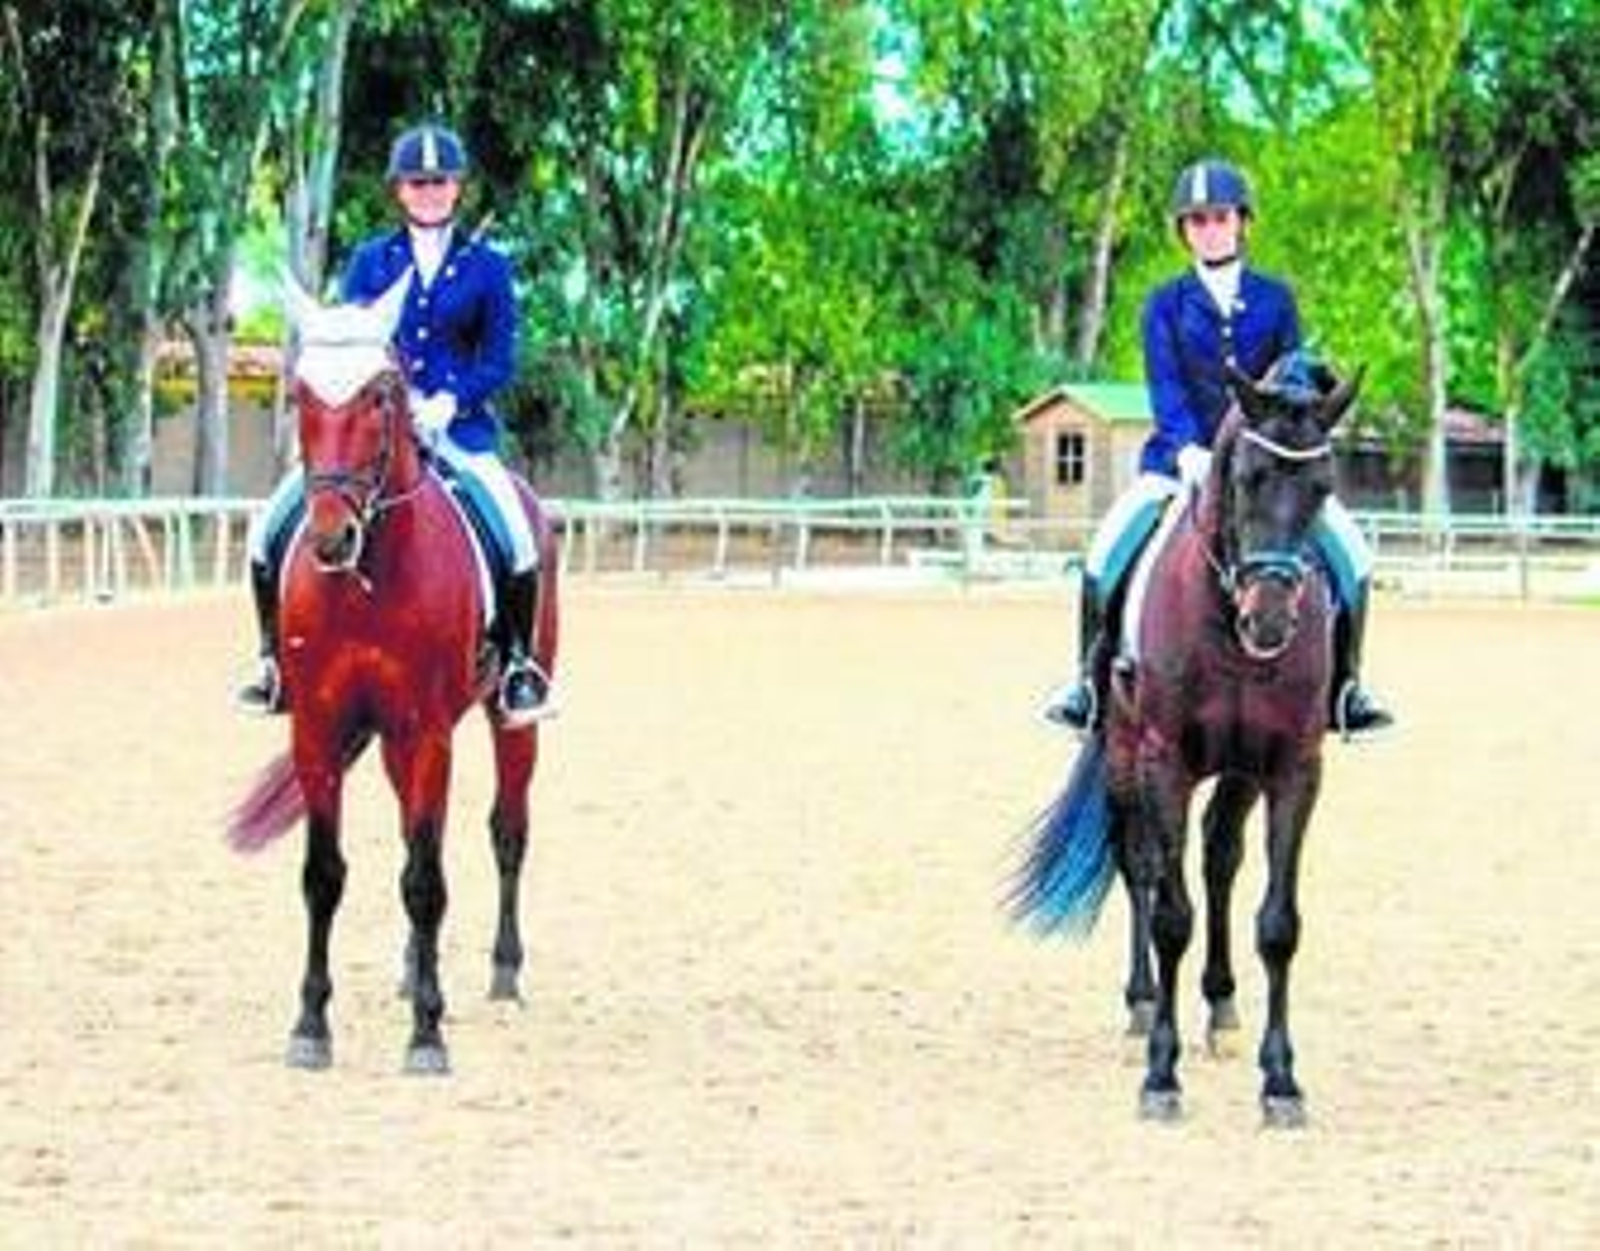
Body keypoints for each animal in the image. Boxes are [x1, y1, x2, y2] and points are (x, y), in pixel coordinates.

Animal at [226, 275, 560, 1075]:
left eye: (382, 394)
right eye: (301, 394)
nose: (330, 536)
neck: (368, 579)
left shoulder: (430, 730)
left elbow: (426, 880)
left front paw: (428, 1037)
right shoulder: (319, 728)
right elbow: (324, 875)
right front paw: (310, 1026)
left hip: (509, 721)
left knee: (507, 831)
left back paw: (504, 972)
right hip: (384, 741)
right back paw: (413, 970)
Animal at [1012, 355, 1362, 1127]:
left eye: (1323, 486)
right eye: (1248, 477)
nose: (1270, 620)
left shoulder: (1294, 768)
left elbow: (1279, 923)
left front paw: (1281, 1081)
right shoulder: (1163, 760)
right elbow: (1171, 914)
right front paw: (1161, 1075)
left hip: (1236, 772)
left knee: (1219, 858)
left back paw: (1223, 1005)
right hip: (1122, 756)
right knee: (1140, 864)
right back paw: (1143, 1004)